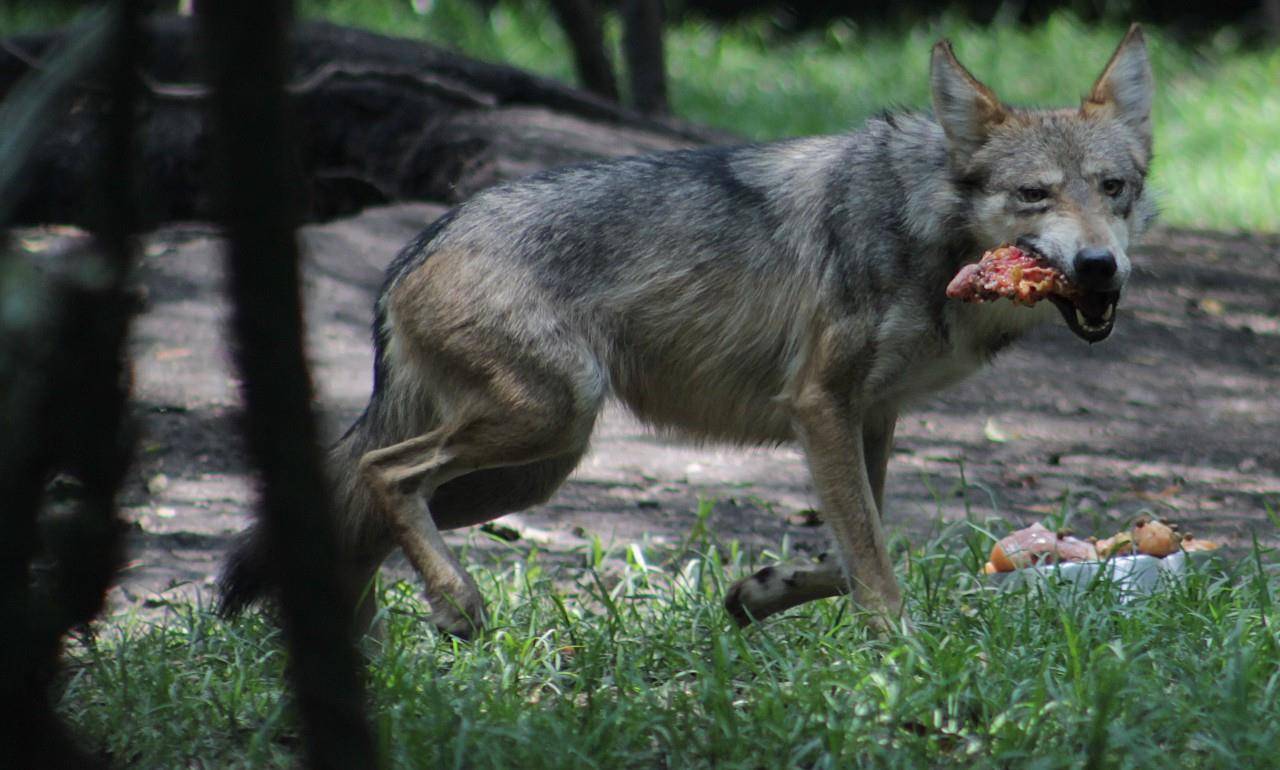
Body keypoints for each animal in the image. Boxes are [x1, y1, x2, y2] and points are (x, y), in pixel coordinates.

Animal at [217, 25, 1152, 634]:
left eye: (1115, 188)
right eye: (1034, 195)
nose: (1101, 267)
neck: (923, 228)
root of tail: (425, 238)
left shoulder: (870, 419)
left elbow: (853, 551)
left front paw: (758, 594)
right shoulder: (820, 407)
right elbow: (874, 565)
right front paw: (900, 656)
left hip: (533, 469)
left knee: (365, 508)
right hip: (545, 424)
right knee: (382, 472)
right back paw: (452, 604)